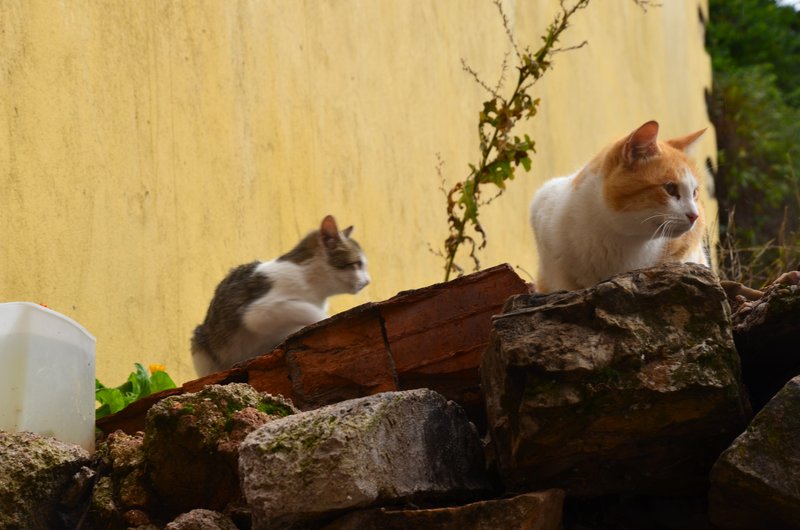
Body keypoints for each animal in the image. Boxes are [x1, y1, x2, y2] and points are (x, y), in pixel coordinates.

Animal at [192, 214, 370, 376]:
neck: (311, 281)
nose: (368, 281)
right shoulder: (258, 312)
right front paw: (322, 318)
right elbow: (309, 311)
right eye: (358, 264)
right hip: (200, 340)